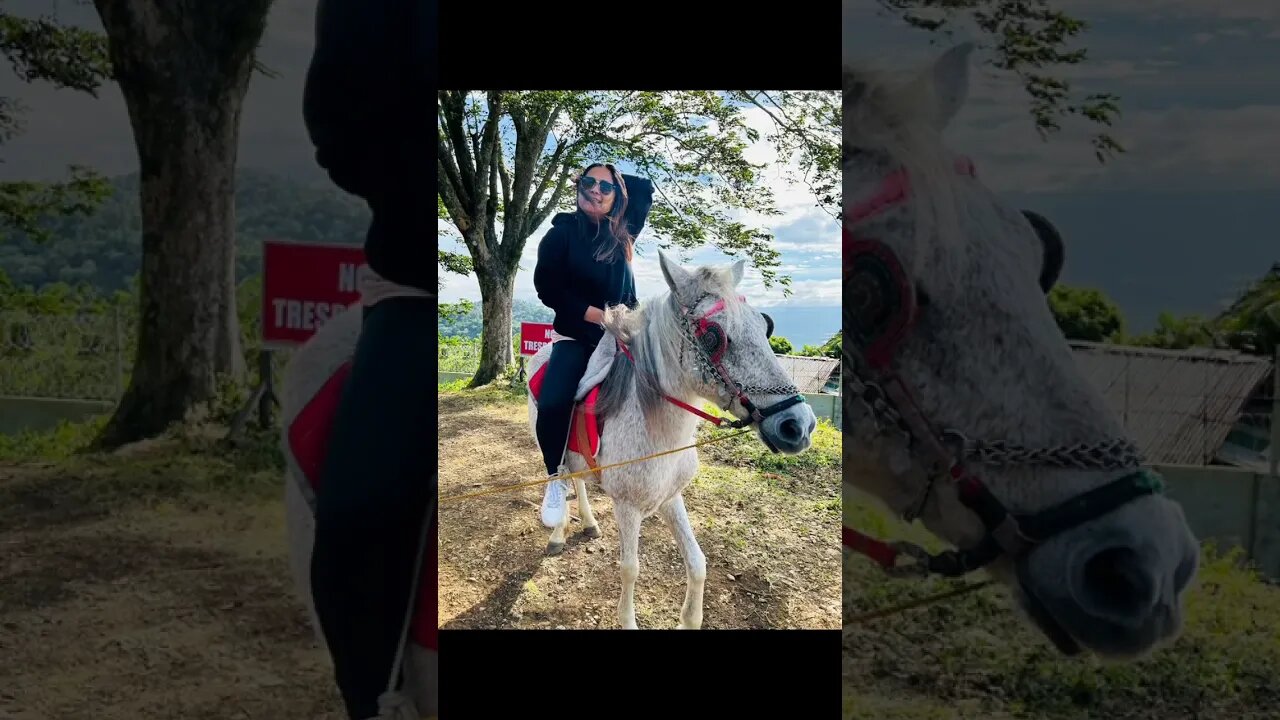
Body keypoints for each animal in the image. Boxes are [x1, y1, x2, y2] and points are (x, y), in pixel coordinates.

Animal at [527, 252, 819, 627]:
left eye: (763, 325)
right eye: (712, 337)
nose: (798, 425)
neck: (661, 431)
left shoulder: (670, 497)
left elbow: (697, 562)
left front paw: (689, 618)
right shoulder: (627, 506)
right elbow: (630, 568)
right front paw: (628, 619)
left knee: (577, 480)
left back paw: (589, 523)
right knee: (560, 477)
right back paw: (557, 530)